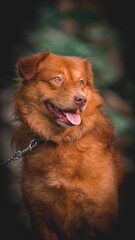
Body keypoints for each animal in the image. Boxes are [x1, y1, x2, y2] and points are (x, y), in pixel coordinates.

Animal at [13, 51, 125, 239]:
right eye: (57, 79)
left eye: (81, 82)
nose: (82, 99)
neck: (62, 142)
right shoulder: (40, 218)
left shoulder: (104, 217)